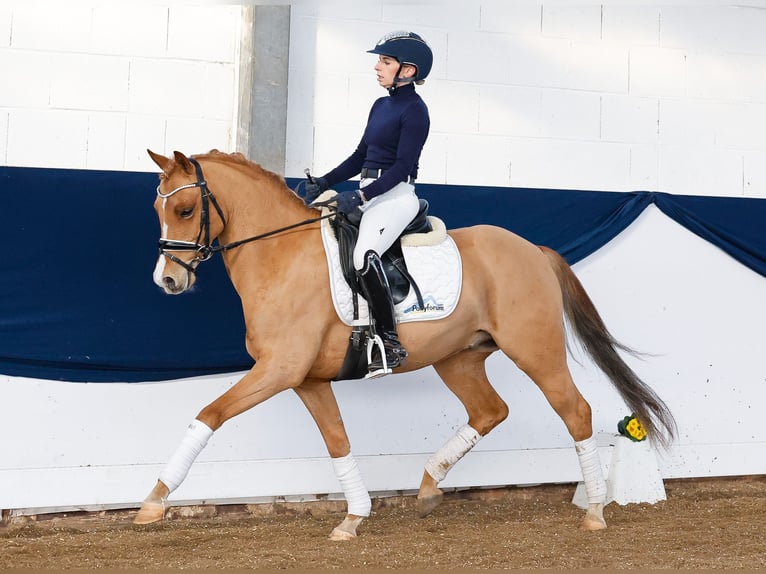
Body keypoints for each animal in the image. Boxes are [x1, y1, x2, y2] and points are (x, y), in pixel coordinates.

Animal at [135, 151, 676, 544]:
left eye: (185, 210)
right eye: (158, 210)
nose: (167, 281)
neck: (281, 255)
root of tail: (533, 250)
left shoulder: (279, 370)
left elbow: (209, 414)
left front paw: (154, 501)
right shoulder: (307, 379)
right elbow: (338, 441)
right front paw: (353, 517)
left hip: (535, 350)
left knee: (575, 411)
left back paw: (595, 512)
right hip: (459, 358)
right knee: (490, 410)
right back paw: (429, 488)